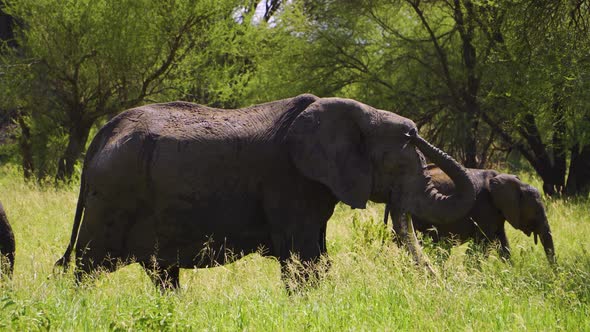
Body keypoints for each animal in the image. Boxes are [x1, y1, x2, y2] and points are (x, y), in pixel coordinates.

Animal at [55, 93, 478, 288]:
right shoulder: (288, 182)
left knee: (162, 274)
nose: (413, 131)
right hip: (113, 195)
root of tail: (104, 132)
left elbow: (316, 259)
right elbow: (303, 260)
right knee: (86, 267)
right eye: (399, 167)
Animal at [404, 166, 556, 264]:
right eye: (536, 212)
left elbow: (503, 244)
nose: (554, 273)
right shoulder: (484, 208)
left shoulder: (497, 213)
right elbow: (481, 245)